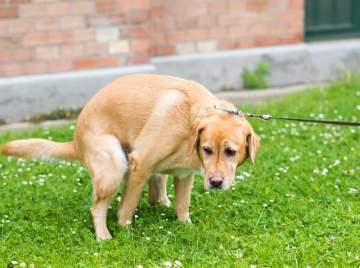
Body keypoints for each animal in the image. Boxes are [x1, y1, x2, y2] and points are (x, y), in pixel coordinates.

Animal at [0, 74, 260, 240]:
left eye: (230, 152)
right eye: (207, 149)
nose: (215, 182)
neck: (190, 123)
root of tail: (75, 139)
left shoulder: (185, 175)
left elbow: (183, 205)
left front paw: (186, 226)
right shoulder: (140, 164)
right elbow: (126, 207)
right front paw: (125, 229)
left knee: (157, 190)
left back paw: (161, 204)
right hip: (114, 165)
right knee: (97, 208)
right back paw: (104, 236)